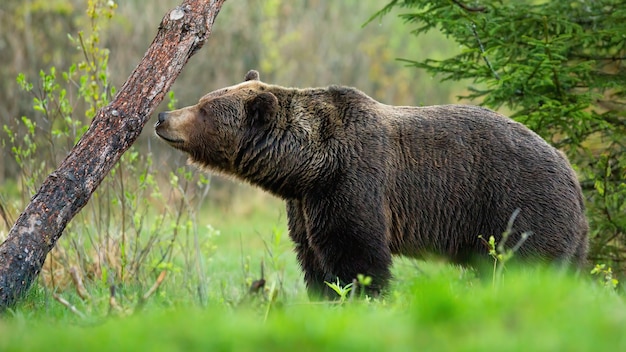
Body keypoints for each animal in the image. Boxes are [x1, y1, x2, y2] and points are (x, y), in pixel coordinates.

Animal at [154, 70, 588, 298]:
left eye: (205, 109)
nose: (162, 116)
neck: (310, 166)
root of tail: (572, 172)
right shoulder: (306, 204)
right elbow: (313, 259)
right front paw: (324, 296)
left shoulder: (353, 182)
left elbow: (357, 256)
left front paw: (361, 295)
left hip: (519, 206)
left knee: (528, 268)